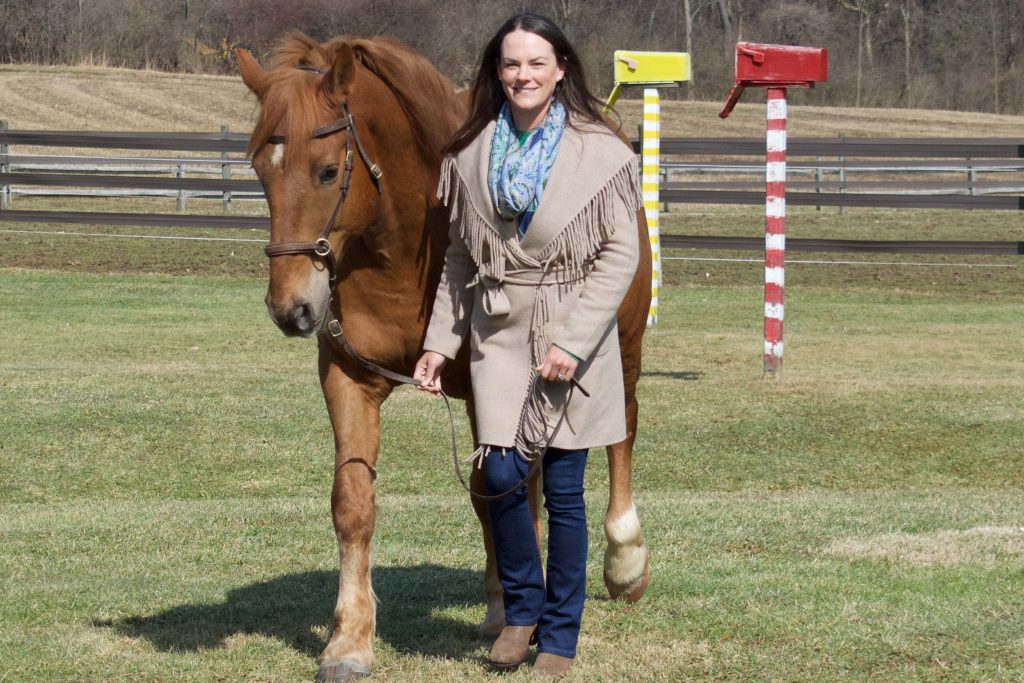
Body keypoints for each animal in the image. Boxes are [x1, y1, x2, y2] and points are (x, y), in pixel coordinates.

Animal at [237, 34, 647, 679]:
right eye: (260, 171)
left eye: (327, 171)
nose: (290, 309)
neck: (401, 250)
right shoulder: (348, 379)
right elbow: (354, 502)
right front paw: (349, 642)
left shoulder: (487, 389)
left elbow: (492, 492)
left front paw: (509, 611)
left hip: (617, 352)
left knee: (620, 433)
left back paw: (623, 562)